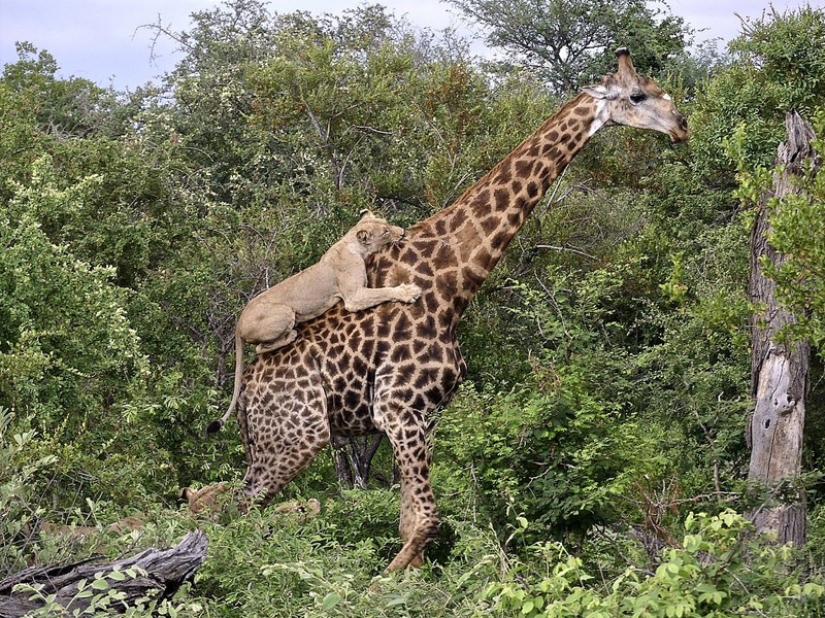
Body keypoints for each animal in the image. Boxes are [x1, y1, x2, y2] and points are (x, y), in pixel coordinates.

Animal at [227, 49, 688, 570]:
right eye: (638, 95)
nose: (681, 126)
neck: (455, 282)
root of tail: (246, 394)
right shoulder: (398, 407)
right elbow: (426, 521)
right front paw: (382, 584)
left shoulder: (423, 414)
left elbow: (410, 521)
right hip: (298, 436)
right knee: (236, 507)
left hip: (272, 444)